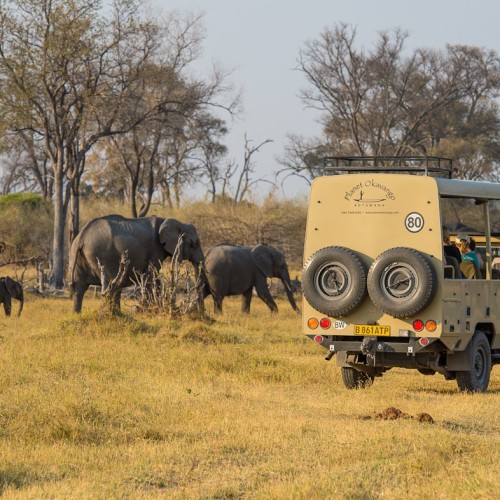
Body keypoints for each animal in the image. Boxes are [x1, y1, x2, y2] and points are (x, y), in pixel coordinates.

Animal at [69, 215, 204, 312]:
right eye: (195, 243)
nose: (201, 313)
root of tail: (81, 236)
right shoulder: (155, 250)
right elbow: (151, 276)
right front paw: (150, 309)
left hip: (81, 257)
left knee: (80, 287)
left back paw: (78, 315)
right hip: (101, 254)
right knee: (110, 284)